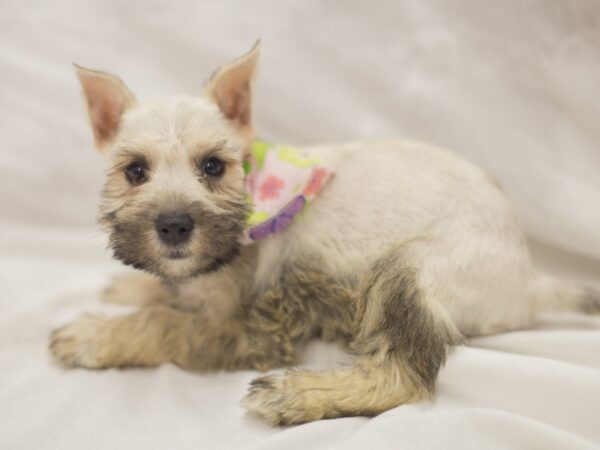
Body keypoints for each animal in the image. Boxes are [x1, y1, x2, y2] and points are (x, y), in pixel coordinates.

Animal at [48, 42, 600, 426]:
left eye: (213, 166)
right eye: (135, 171)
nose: (174, 225)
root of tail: (529, 280)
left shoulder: (233, 323)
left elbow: (161, 325)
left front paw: (94, 334)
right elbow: (164, 292)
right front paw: (130, 286)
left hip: (405, 272)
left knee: (400, 377)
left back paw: (298, 395)